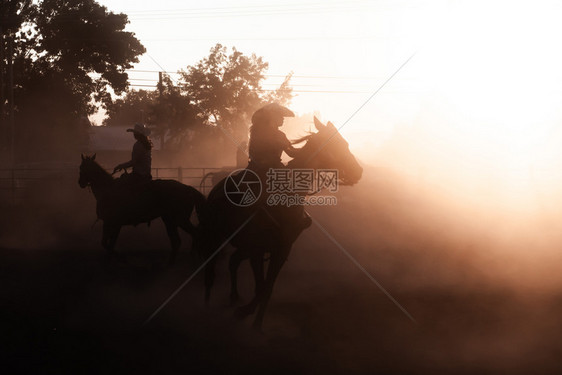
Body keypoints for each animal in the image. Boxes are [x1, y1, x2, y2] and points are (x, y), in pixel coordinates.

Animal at [199, 117, 360, 328]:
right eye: (337, 144)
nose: (358, 171)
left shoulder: (282, 250)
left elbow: (267, 288)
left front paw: (255, 321)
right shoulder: (257, 250)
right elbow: (261, 287)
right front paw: (245, 313)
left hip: (242, 246)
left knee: (233, 261)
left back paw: (234, 296)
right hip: (215, 236)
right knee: (211, 268)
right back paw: (208, 302)